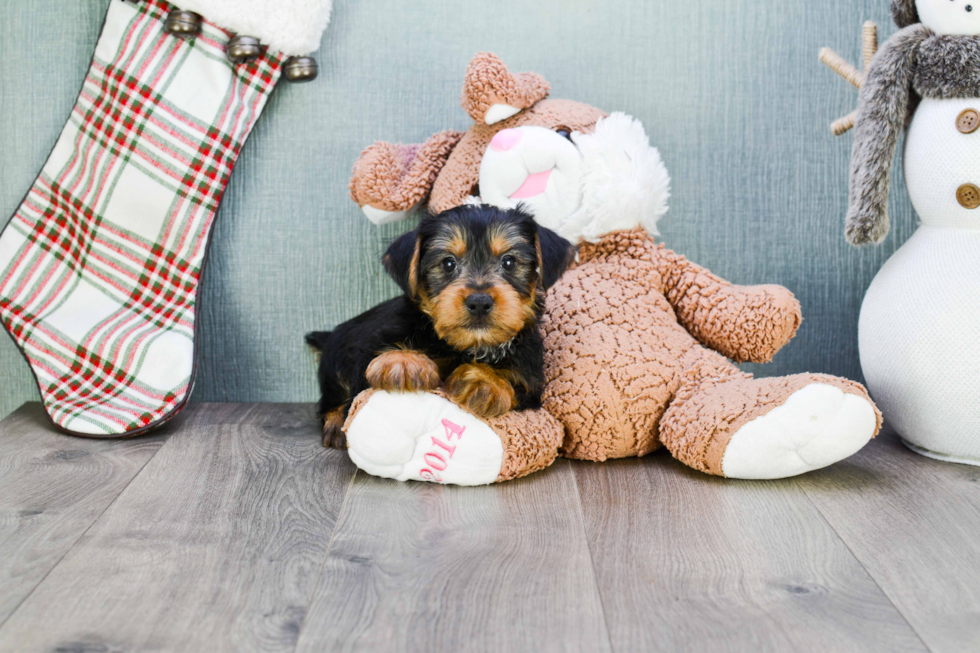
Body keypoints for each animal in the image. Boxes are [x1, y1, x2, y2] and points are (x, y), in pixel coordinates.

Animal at [308, 204, 576, 448]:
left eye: (509, 262)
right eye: (448, 264)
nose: (479, 302)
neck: (467, 347)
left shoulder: (531, 380)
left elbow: (513, 379)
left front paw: (486, 381)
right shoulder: (372, 345)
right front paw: (404, 361)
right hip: (335, 363)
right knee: (330, 400)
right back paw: (335, 423)